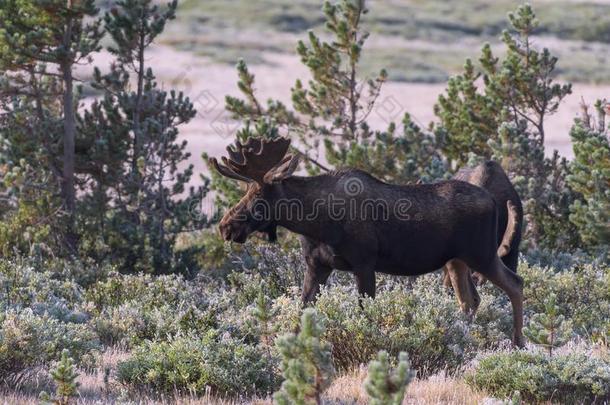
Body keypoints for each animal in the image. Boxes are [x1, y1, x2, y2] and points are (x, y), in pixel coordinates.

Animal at [209, 136, 524, 344]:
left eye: (257, 194)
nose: (225, 226)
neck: (317, 221)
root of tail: (493, 202)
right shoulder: (317, 265)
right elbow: (302, 312)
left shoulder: (364, 263)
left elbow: (365, 314)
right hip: (456, 261)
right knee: (470, 300)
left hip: (482, 254)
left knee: (515, 284)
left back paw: (518, 342)